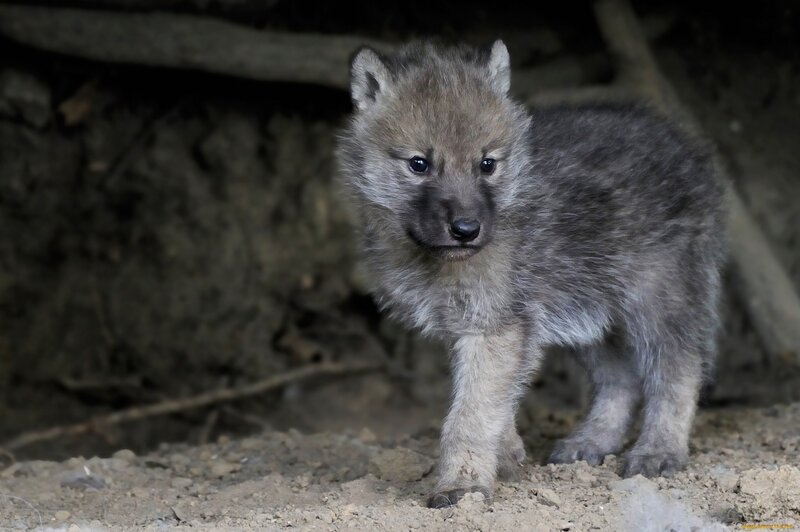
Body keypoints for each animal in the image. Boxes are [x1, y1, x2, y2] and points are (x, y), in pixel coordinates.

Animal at [335, 39, 725, 508]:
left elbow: (469, 416)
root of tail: (685, 148)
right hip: (592, 313)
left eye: (487, 164)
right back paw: (590, 442)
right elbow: (493, 402)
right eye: (418, 164)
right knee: (623, 380)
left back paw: (658, 450)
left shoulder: (495, 328)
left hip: (658, 298)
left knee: (677, 369)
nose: (466, 230)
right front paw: (505, 457)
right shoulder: (477, 327)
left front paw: (463, 486)